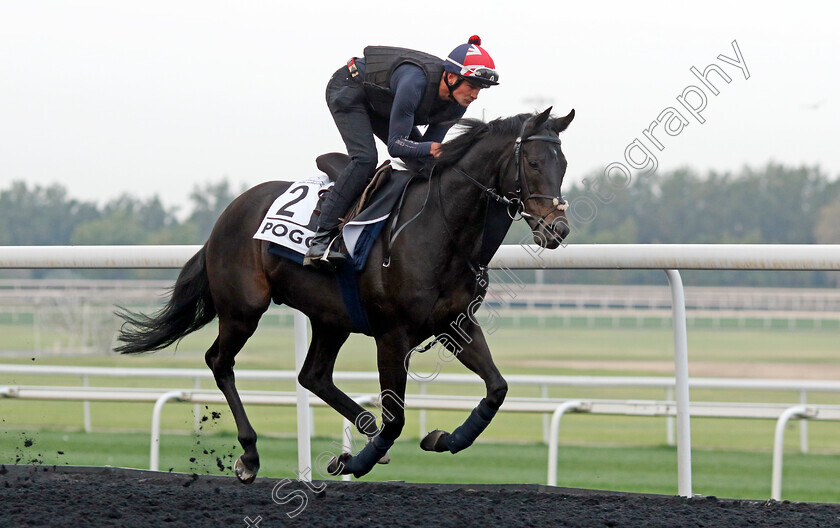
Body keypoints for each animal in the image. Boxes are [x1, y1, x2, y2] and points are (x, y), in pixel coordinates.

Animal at [118, 107, 576, 482]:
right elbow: (396, 418)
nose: (557, 229)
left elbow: (497, 388)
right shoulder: (392, 336)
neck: (439, 228)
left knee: (312, 375)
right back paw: (250, 455)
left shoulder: (454, 324)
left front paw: (443, 438)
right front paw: (355, 461)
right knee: (220, 362)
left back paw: (363, 426)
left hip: (330, 317)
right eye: (534, 162)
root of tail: (227, 213)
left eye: (565, 164)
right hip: (243, 308)